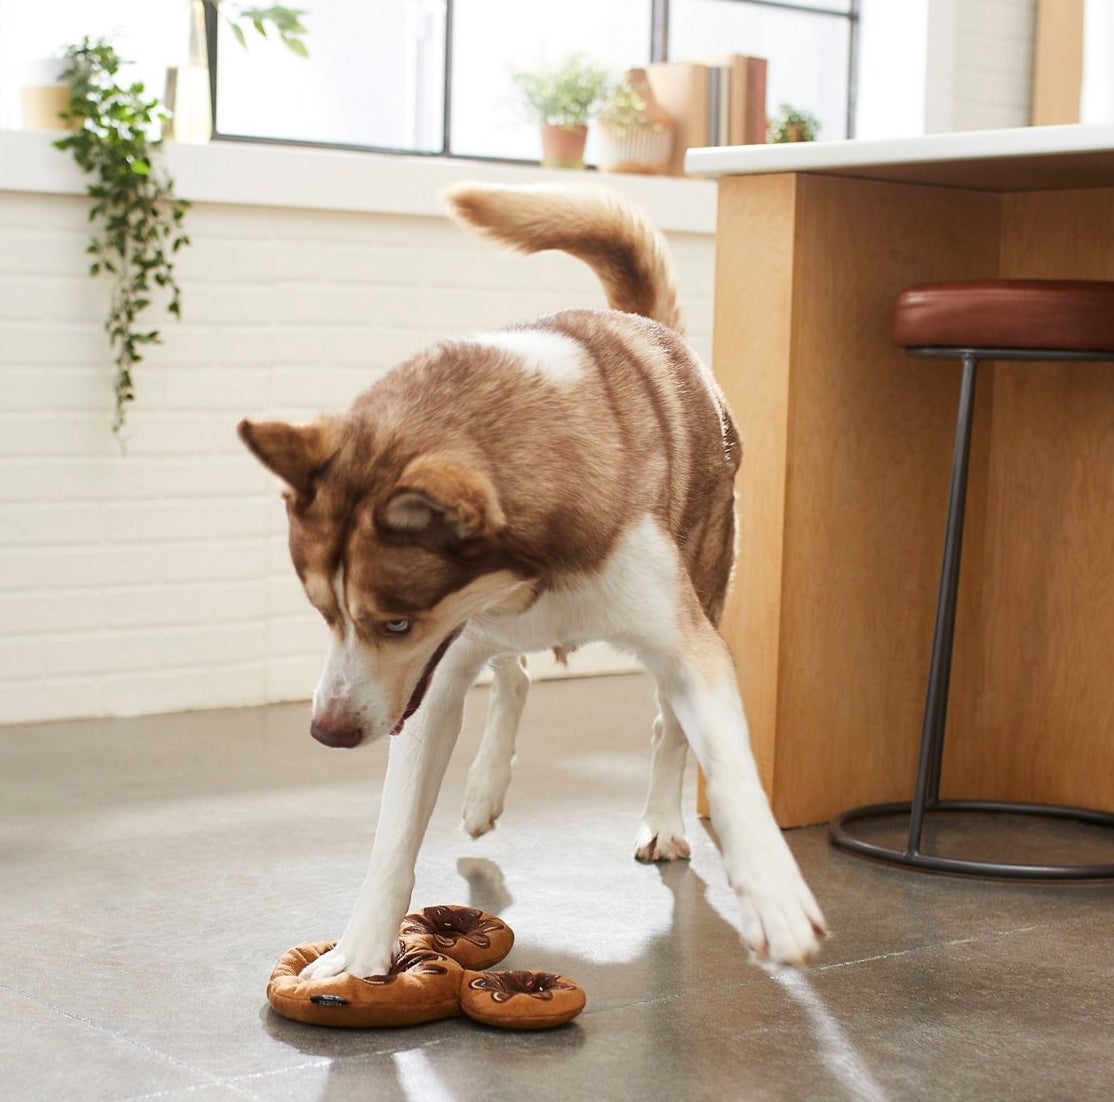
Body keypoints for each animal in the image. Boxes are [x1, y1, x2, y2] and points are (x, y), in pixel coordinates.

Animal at [241, 182, 828, 980]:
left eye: (394, 621)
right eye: (325, 614)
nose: (327, 732)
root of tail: (655, 330)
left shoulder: (687, 649)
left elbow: (728, 766)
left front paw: (774, 897)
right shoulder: (432, 677)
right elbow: (395, 834)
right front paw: (359, 954)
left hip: (705, 582)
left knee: (664, 728)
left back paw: (663, 820)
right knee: (512, 676)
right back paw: (486, 784)